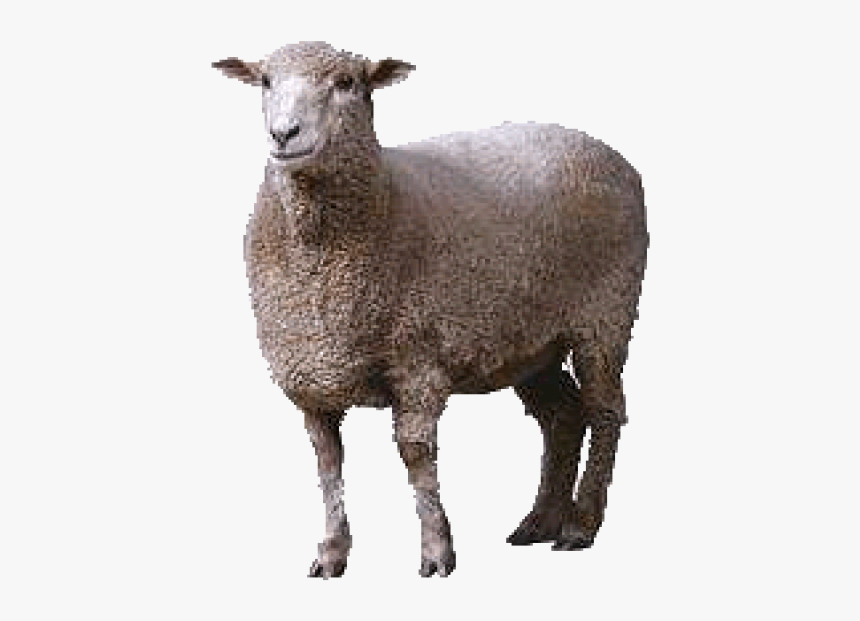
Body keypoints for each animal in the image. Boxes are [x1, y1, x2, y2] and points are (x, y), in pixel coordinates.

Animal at [213, 41, 648, 578]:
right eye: (266, 81)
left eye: (346, 83)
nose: (284, 133)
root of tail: (612, 154)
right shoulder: (311, 378)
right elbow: (327, 463)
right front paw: (332, 553)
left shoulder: (416, 361)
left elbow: (415, 454)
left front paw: (437, 550)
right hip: (530, 341)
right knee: (562, 417)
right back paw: (539, 522)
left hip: (605, 316)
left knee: (605, 412)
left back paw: (580, 525)